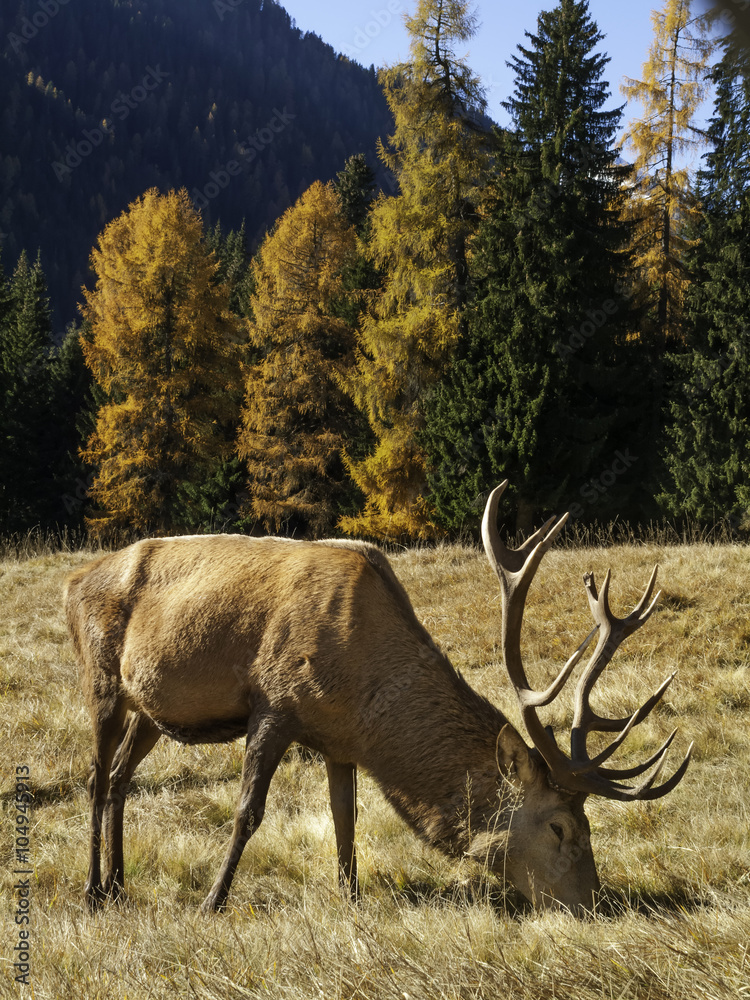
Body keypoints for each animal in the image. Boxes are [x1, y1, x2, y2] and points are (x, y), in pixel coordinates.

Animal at [65, 481, 691, 915]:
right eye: (561, 826)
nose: (595, 905)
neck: (364, 697)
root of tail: (73, 583)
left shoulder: (338, 740)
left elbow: (346, 822)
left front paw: (351, 900)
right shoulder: (275, 702)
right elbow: (248, 812)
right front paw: (211, 903)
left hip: (150, 709)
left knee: (119, 776)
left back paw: (119, 884)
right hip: (100, 679)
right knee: (95, 777)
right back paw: (94, 890)